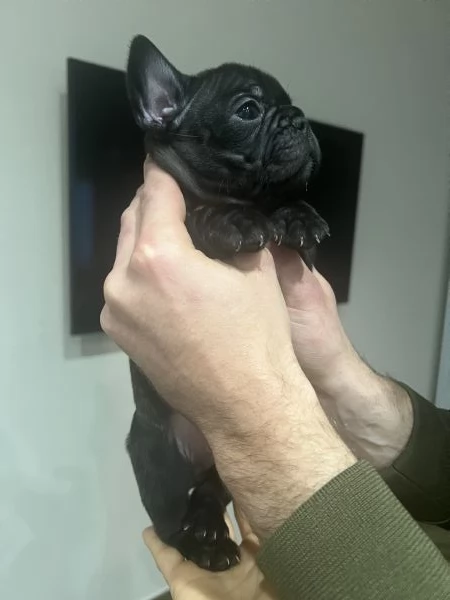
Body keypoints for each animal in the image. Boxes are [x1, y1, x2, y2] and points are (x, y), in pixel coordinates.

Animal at [125, 34, 329, 572]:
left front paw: (299, 215)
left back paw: (209, 524)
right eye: (248, 110)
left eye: (293, 102)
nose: (300, 118)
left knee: (211, 494)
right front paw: (229, 220)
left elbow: (293, 215)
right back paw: (203, 544)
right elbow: (201, 215)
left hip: (222, 471)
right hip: (156, 454)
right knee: (170, 522)